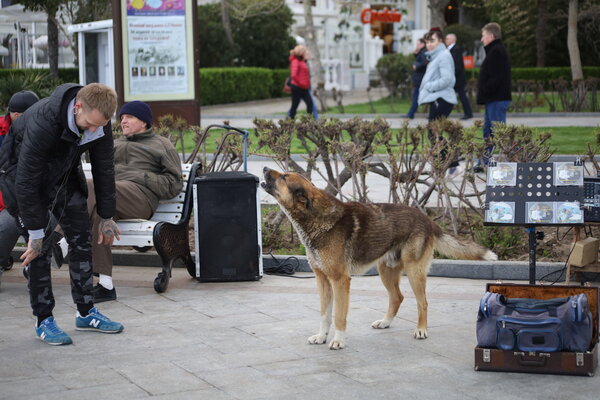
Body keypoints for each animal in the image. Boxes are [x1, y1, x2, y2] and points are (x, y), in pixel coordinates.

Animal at [262, 167, 496, 348]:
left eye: (285, 177)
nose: (264, 168)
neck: (317, 219)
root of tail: (427, 219)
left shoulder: (340, 281)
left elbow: (338, 316)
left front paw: (338, 341)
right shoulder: (322, 280)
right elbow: (324, 315)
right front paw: (321, 337)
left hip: (414, 272)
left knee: (423, 302)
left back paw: (421, 330)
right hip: (386, 271)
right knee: (397, 297)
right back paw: (385, 322)